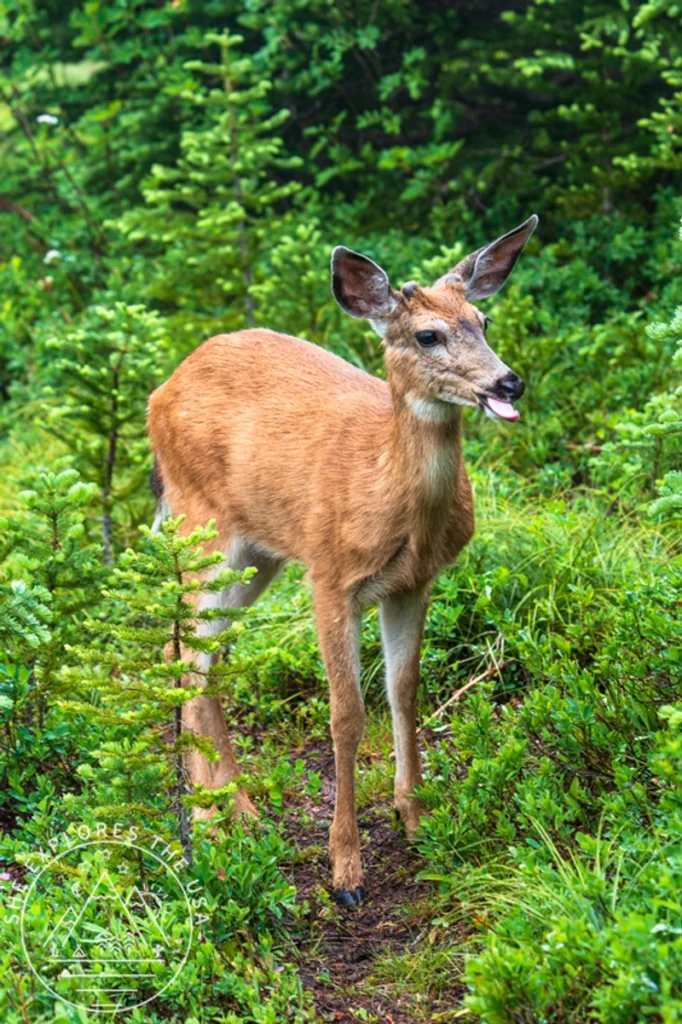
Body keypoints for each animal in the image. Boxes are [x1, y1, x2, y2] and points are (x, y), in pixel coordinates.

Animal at [147, 215, 538, 906]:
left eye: (483, 321)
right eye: (428, 334)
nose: (508, 383)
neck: (391, 497)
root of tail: (160, 392)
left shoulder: (413, 583)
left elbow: (404, 693)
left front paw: (416, 818)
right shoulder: (330, 575)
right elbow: (347, 716)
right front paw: (346, 869)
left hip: (259, 555)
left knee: (201, 652)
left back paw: (239, 810)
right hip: (202, 526)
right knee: (186, 654)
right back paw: (207, 824)